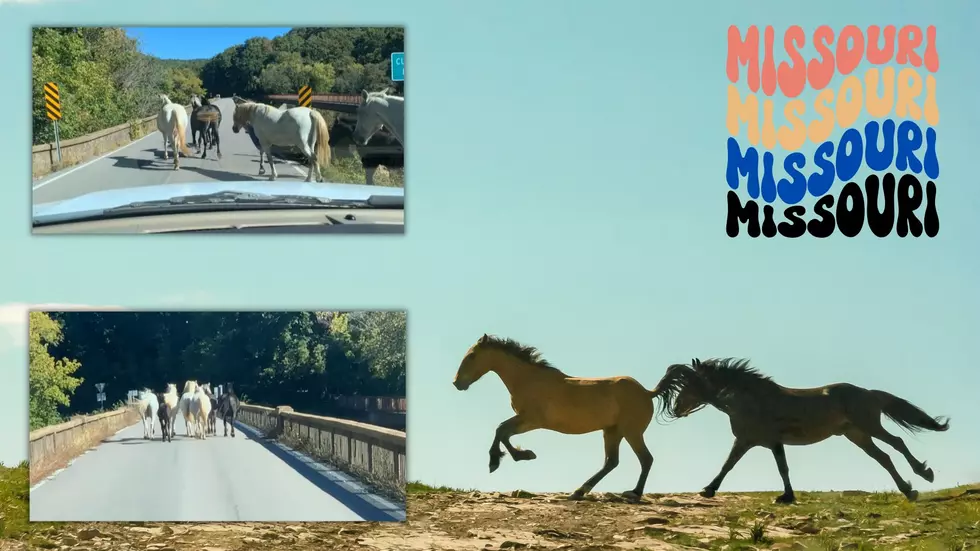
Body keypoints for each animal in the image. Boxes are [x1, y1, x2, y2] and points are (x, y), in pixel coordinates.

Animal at [652, 358, 948, 504]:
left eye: (689, 384)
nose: (677, 409)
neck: (751, 399)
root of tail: (869, 393)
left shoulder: (759, 440)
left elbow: (766, 467)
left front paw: (785, 497)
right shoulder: (753, 441)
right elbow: (735, 465)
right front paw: (709, 490)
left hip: (869, 426)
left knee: (897, 442)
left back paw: (925, 474)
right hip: (857, 435)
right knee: (883, 458)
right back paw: (908, 490)